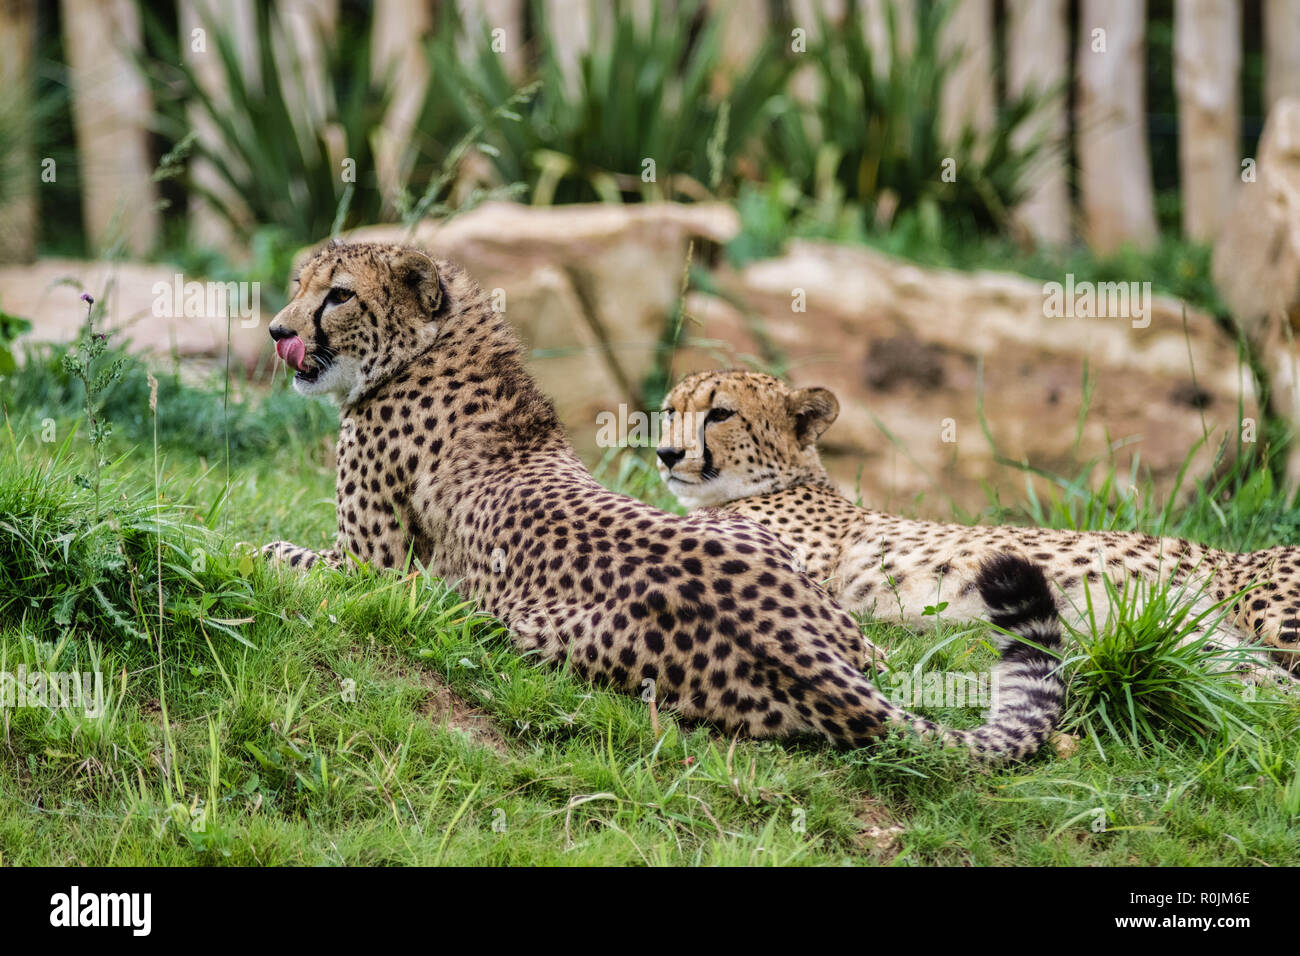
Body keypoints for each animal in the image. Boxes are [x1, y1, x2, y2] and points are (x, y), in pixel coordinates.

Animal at [261, 240, 1066, 764]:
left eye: (337, 294)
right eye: (300, 283)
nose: (277, 330)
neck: (438, 346)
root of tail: (799, 642)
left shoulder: (372, 572)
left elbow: (271, 547)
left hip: (525, 626)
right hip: (809, 590)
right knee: (879, 653)